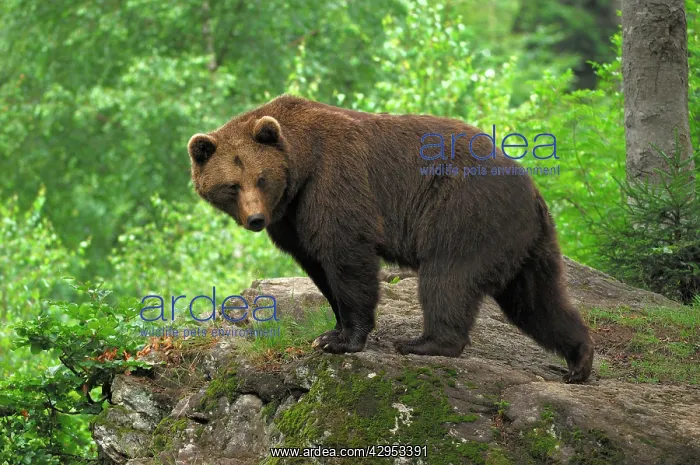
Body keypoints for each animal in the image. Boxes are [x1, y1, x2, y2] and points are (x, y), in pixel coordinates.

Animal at [187, 94, 595, 383]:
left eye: (261, 178)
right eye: (232, 185)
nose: (256, 219)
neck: (301, 168)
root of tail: (533, 191)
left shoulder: (335, 182)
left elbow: (348, 257)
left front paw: (343, 339)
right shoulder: (293, 218)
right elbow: (319, 267)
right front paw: (330, 330)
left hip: (466, 211)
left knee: (447, 278)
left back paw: (424, 343)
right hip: (525, 240)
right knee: (536, 299)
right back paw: (579, 359)